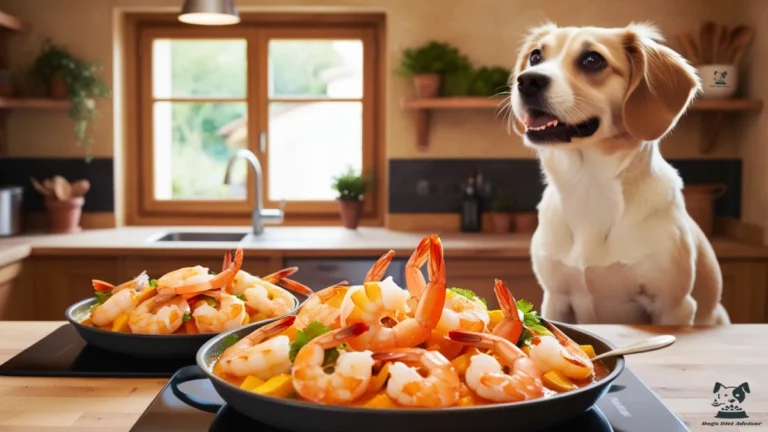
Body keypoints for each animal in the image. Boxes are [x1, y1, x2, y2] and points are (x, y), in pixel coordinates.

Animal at [510, 22, 732, 324]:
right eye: (535, 56)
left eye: (593, 60)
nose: (527, 81)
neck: (589, 186)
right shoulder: (556, 299)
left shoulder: (673, 306)